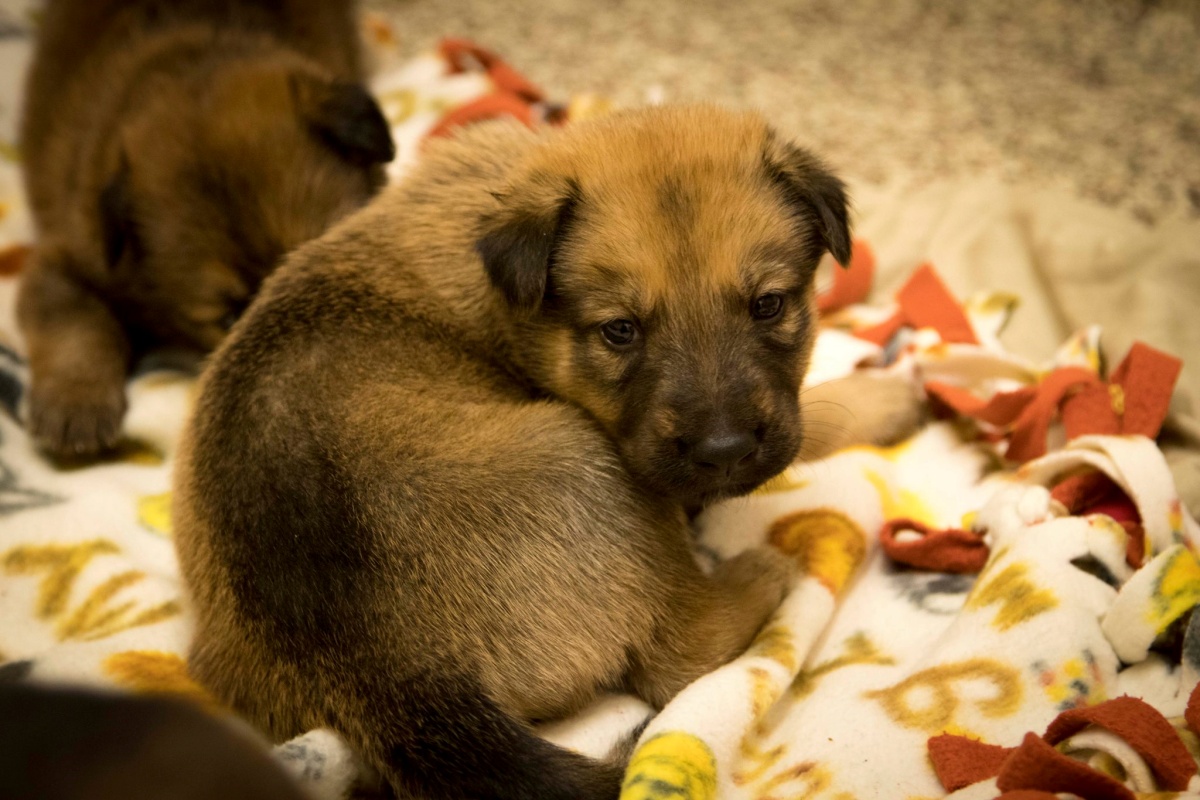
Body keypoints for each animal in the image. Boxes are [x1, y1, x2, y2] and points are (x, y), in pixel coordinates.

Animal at [175, 107, 902, 800]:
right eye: (620, 331)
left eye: (768, 305)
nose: (723, 452)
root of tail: (392, 675)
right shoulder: (647, 464)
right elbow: (817, 427)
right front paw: (889, 398)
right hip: (587, 460)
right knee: (683, 658)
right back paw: (766, 572)